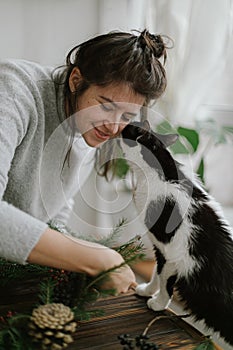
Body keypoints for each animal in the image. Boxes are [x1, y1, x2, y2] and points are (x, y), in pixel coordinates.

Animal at [120, 121, 233, 346]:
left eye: (130, 128)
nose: (120, 127)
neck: (162, 173)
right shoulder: (159, 249)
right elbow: (156, 273)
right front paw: (147, 290)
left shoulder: (171, 255)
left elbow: (164, 283)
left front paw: (157, 303)